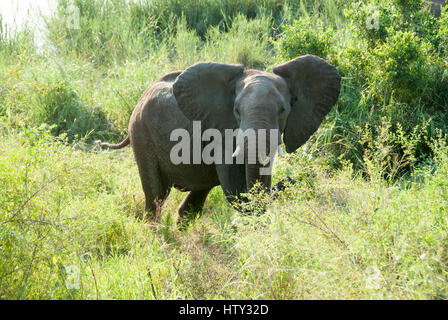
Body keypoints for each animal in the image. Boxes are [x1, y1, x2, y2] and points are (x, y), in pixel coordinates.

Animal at [98, 55, 342, 220]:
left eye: (283, 110)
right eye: (236, 110)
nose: (304, 177)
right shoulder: (222, 133)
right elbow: (237, 193)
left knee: (194, 200)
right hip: (141, 134)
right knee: (156, 196)